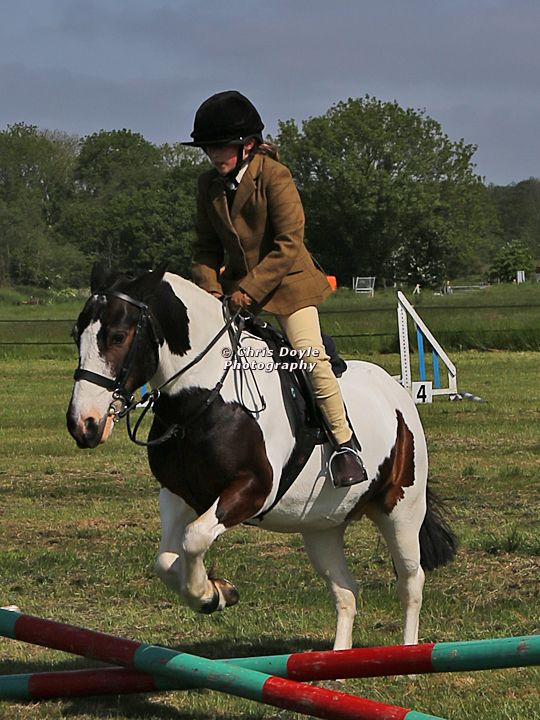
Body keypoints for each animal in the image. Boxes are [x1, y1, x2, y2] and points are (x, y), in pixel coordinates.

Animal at [66, 265, 456, 651]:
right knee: (346, 591)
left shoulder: (252, 490)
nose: (83, 424)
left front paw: (210, 594)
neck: (202, 398)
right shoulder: (178, 494)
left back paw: (407, 653)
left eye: (118, 337)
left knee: (410, 581)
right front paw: (217, 593)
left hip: (401, 511)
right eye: (76, 336)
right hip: (322, 526)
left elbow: (194, 537)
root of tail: (397, 392)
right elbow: (166, 559)